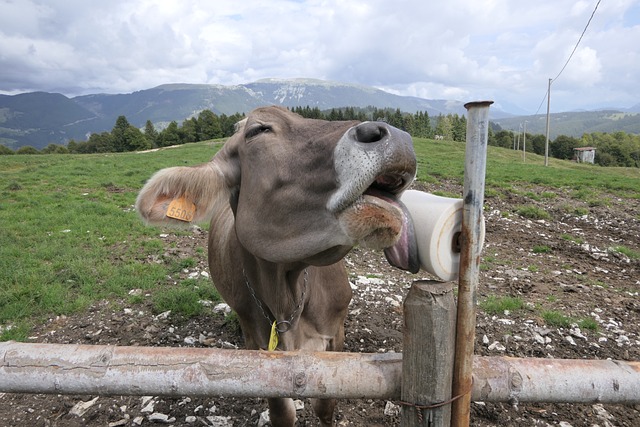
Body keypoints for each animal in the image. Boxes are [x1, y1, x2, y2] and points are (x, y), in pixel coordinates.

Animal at [137, 105, 418, 426]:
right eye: (258, 130)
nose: (397, 137)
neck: (287, 296)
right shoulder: (262, 351)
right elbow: (282, 412)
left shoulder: (335, 334)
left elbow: (326, 404)